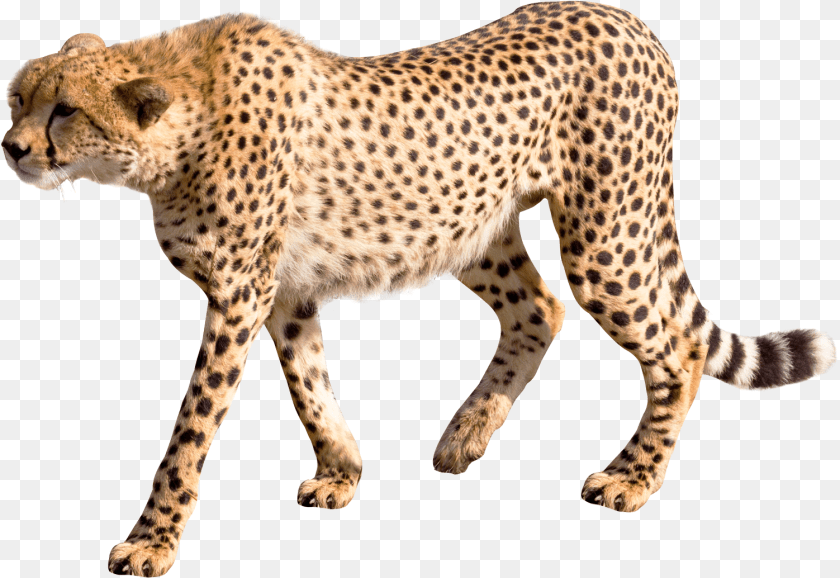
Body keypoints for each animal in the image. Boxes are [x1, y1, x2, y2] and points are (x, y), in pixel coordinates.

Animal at [4, 2, 836, 575]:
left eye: (65, 111)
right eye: (16, 98)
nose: (11, 147)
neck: (177, 124)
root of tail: (625, 17)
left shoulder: (239, 294)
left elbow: (191, 426)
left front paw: (151, 541)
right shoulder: (284, 293)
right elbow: (308, 384)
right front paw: (341, 471)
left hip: (606, 233)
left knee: (678, 353)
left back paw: (632, 478)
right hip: (470, 226)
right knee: (539, 310)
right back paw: (468, 432)